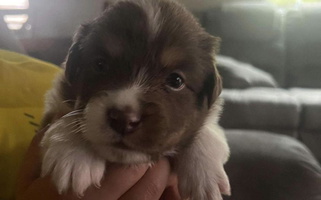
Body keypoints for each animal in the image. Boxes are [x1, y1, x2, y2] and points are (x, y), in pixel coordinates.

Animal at [40, 0, 230, 199]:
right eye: (100, 64)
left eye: (176, 80)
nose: (123, 120)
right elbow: (70, 115)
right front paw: (74, 154)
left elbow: (206, 129)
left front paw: (204, 176)